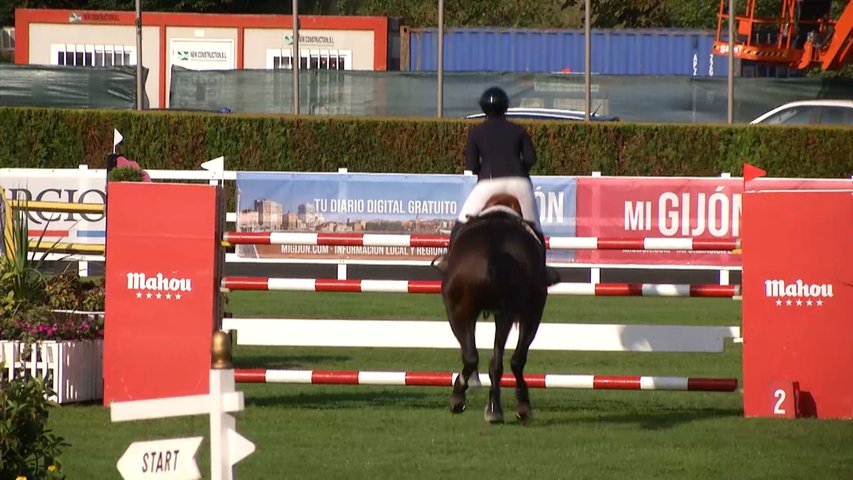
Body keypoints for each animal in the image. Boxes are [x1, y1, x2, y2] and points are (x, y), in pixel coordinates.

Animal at [440, 193, 552, 422]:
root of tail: (492, 250)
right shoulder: (528, 313)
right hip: (512, 314)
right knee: (505, 360)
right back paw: (505, 406)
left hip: (460, 311)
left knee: (474, 357)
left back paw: (465, 398)